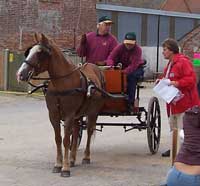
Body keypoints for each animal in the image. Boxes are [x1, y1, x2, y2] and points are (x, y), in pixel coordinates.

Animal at [16, 33, 104, 177]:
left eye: (40, 53)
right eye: (29, 51)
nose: (20, 74)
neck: (62, 84)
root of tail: (95, 68)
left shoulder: (69, 115)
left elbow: (66, 140)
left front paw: (65, 168)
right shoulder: (54, 115)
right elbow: (58, 139)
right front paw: (58, 164)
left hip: (92, 113)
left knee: (89, 132)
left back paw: (86, 157)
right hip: (78, 115)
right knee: (76, 132)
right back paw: (73, 159)